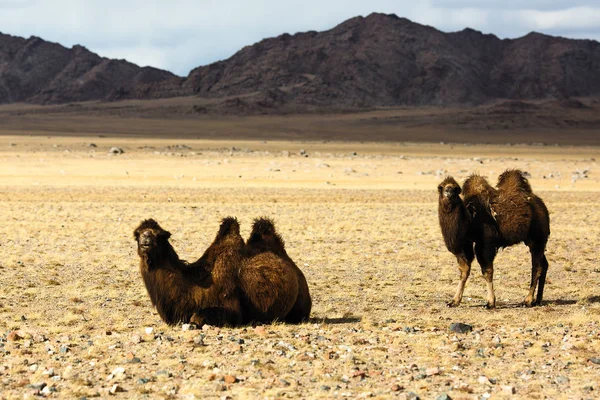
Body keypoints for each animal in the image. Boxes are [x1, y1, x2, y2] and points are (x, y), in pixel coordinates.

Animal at [438, 170, 552, 308]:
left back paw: (528, 300)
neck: (470, 219)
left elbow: (487, 271)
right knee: (544, 264)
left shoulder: (485, 244)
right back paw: (538, 300)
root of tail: (543, 207)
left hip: (537, 239)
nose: (448, 191)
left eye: (455, 189)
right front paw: (454, 301)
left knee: (536, 267)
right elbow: (464, 271)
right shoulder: (465, 244)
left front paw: (490, 302)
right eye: (441, 187)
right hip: (534, 241)